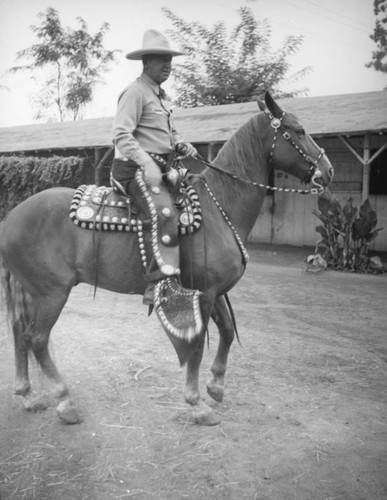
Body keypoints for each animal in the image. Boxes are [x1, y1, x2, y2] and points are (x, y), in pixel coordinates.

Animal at [0, 93, 334, 426]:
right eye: (299, 130)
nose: (328, 170)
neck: (218, 209)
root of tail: (11, 218)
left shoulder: (215, 291)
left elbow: (226, 332)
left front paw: (216, 385)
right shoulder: (205, 293)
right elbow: (197, 345)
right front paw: (196, 403)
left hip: (31, 291)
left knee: (19, 332)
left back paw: (28, 395)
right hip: (52, 293)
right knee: (36, 338)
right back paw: (65, 401)